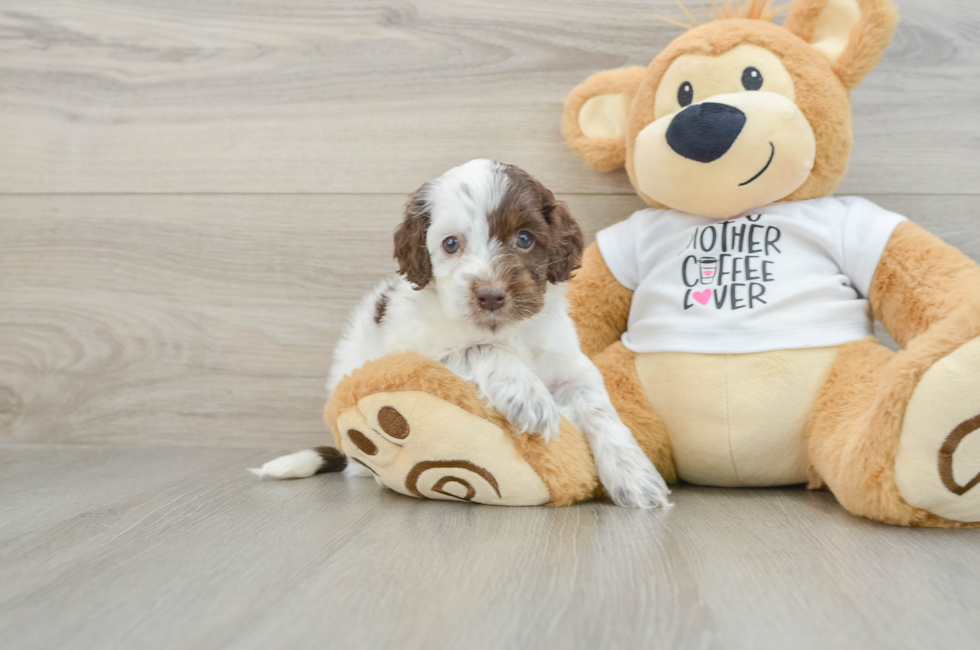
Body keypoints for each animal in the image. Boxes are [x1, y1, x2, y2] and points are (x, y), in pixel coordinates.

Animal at [253, 159, 668, 508]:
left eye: (524, 239)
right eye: (451, 244)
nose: (491, 295)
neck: (505, 329)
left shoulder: (570, 364)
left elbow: (599, 409)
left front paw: (634, 476)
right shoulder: (416, 354)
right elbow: (480, 348)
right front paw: (527, 394)